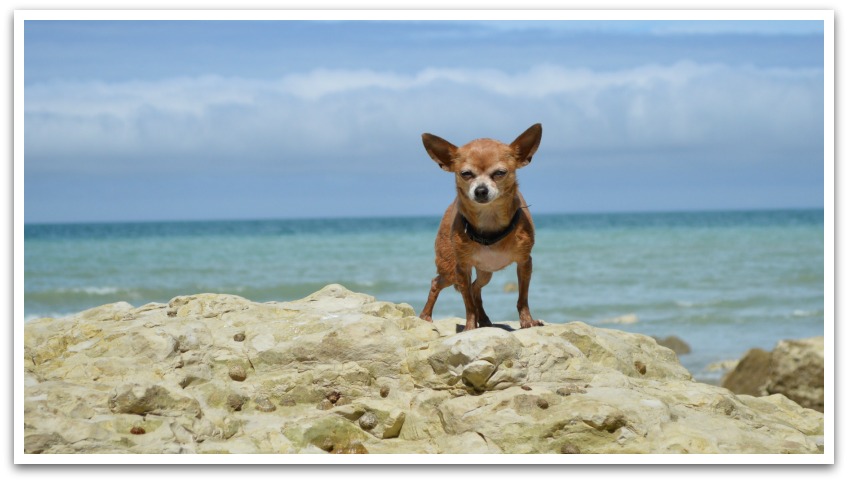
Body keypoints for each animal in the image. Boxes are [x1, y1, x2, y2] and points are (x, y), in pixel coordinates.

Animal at [418, 123, 544, 332]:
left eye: (500, 173)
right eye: (466, 174)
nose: (481, 190)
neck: (489, 220)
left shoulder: (525, 263)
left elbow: (522, 298)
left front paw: (527, 321)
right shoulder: (462, 268)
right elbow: (467, 303)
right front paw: (470, 327)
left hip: (486, 272)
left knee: (475, 288)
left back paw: (483, 319)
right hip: (450, 269)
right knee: (439, 283)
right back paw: (426, 315)